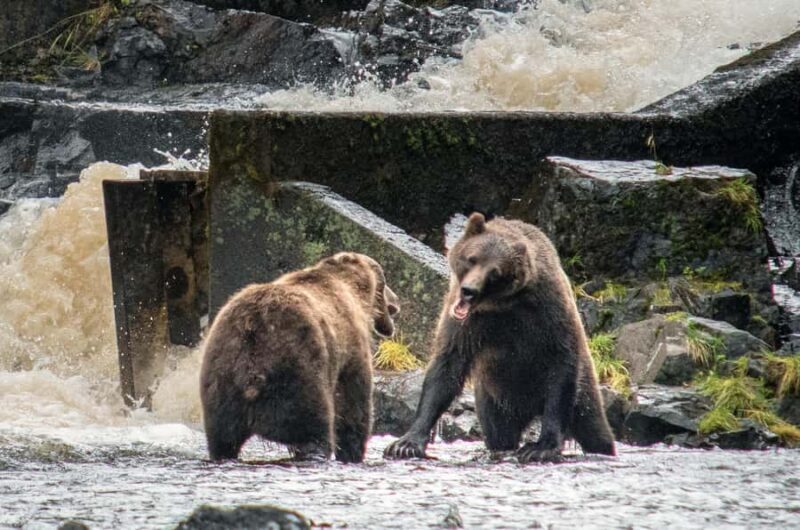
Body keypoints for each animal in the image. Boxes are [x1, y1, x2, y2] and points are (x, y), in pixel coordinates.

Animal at [200, 252, 399, 463]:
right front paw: (352, 451)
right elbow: (354, 404)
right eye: (386, 284)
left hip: (222, 376)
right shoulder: (350, 346)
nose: (396, 302)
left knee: (222, 440)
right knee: (313, 428)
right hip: (299, 367)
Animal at [384, 213, 615, 463]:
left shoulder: (548, 314)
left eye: (494, 272)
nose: (469, 291)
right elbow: (446, 368)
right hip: (494, 399)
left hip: (583, 392)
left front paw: (540, 447)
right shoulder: (467, 323)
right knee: (499, 434)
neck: (502, 304)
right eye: (472, 259)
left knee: (595, 429)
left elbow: (561, 365)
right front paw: (405, 444)